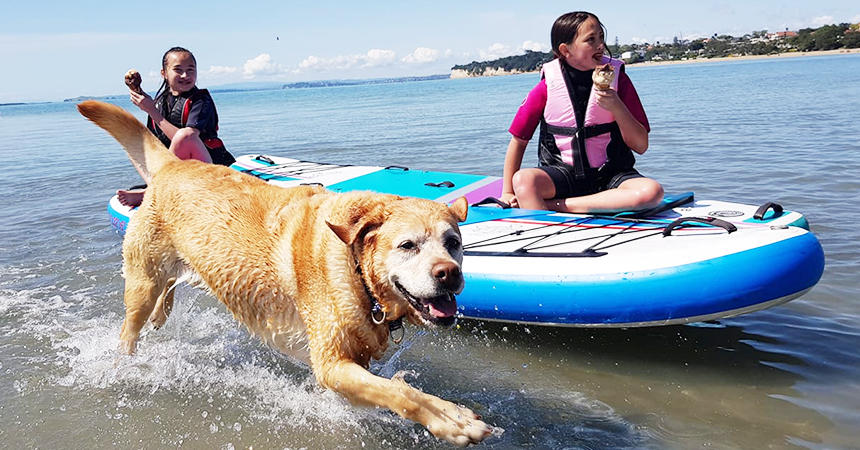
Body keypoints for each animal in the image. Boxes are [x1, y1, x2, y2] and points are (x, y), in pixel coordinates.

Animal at [79, 102, 490, 446]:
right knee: (129, 330)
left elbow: (390, 389)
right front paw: (451, 420)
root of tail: (172, 164)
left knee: (166, 293)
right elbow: (400, 393)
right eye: (408, 245)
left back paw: (162, 314)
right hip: (141, 285)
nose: (449, 274)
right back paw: (125, 362)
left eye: (453, 242)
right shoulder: (331, 365)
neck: (356, 268)